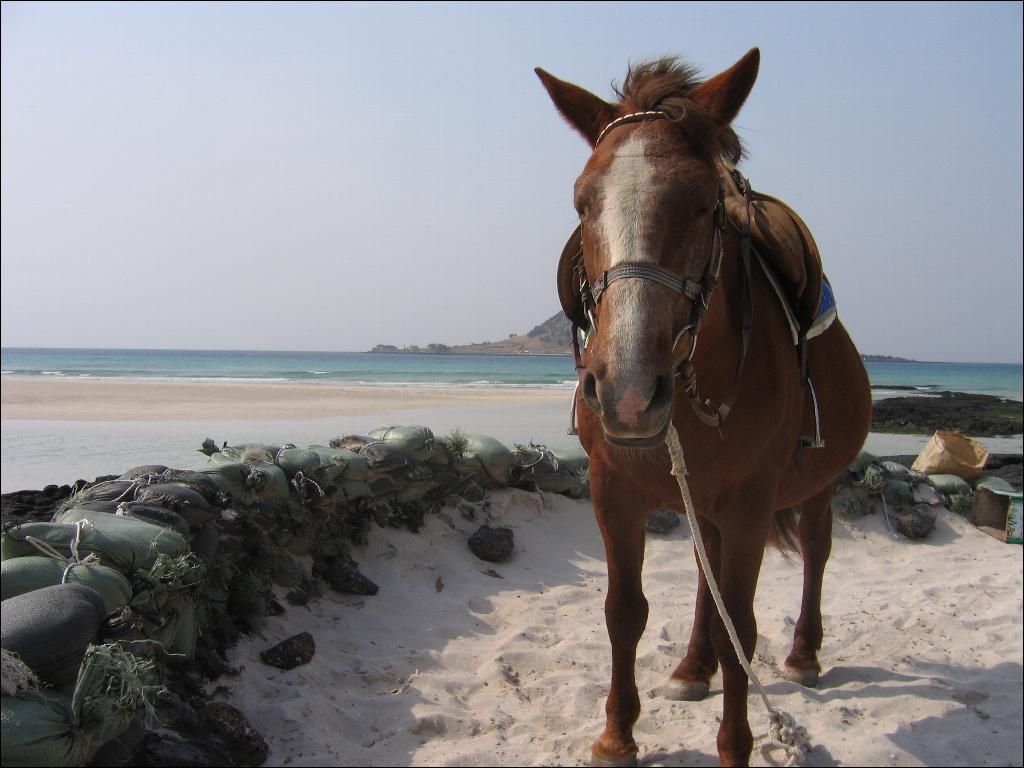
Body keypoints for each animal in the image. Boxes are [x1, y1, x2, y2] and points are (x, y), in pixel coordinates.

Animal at [535, 48, 872, 766]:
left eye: (703, 202)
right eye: (582, 201)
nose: (629, 392)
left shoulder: (749, 502)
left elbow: (739, 625)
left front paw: (735, 745)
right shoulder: (613, 489)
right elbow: (624, 612)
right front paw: (617, 734)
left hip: (816, 484)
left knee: (816, 550)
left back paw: (803, 653)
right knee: (703, 570)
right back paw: (693, 666)